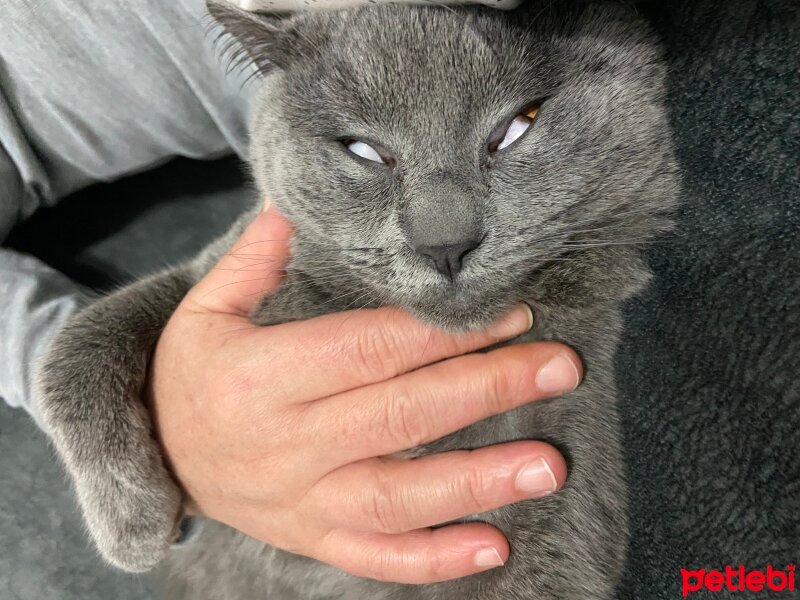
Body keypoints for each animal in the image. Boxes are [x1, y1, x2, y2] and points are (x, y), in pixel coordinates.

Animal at [34, 2, 680, 596]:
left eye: (517, 126)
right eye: (363, 151)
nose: (445, 244)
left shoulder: (546, 480)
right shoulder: (215, 267)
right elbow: (81, 338)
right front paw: (131, 526)